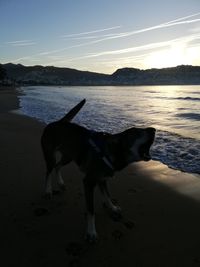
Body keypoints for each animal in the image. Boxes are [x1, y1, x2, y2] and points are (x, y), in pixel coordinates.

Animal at [41, 99, 156, 243]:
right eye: (137, 133)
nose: (153, 130)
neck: (112, 152)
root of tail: (57, 122)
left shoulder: (102, 179)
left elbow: (107, 195)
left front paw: (112, 208)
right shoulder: (89, 182)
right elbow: (91, 210)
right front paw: (91, 232)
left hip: (68, 156)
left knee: (57, 166)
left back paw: (61, 183)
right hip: (50, 155)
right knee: (49, 170)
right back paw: (48, 190)